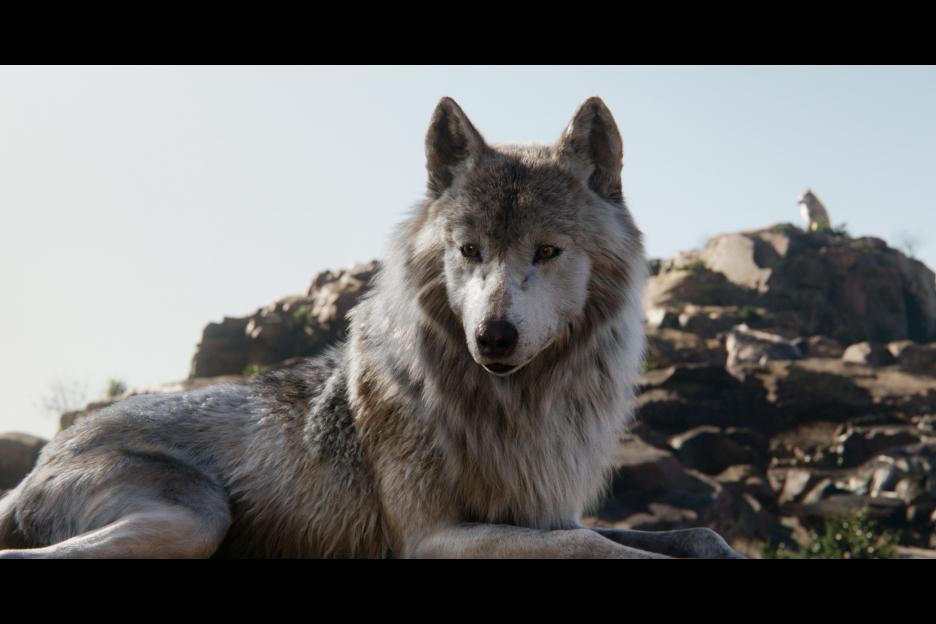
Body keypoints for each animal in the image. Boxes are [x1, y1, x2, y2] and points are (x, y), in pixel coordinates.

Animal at [0, 97, 741, 558]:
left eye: (548, 251)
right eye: (469, 250)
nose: (493, 338)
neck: (511, 407)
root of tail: (49, 452)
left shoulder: (544, 513)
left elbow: (700, 537)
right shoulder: (435, 537)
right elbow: (592, 545)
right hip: (195, 516)